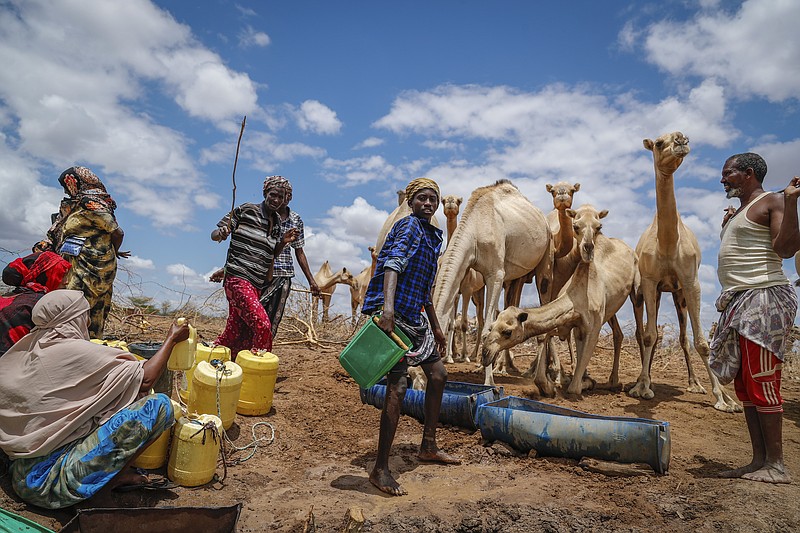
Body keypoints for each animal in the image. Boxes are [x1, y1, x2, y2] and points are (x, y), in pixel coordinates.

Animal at [434, 180, 552, 386]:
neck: (475, 229)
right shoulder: (467, 272)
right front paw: (484, 367)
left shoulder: (495, 273)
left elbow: (487, 329)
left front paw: (489, 382)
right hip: (515, 278)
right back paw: (499, 366)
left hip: (544, 260)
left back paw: (538, 375)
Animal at [478, 204, 640, 394]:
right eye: (492, 327)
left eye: (507, 332)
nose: (485, 354)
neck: (576, 298)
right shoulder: (569, 324)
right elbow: (546, 338)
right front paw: (550, 385)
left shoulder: (593, 328)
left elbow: (573, 388)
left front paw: (580, 382)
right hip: (609, 310)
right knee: (617, 333)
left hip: (636, 290)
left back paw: (618, 383)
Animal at [628, 131, 740, 414]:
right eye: (658, 143)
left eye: (684, 137)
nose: (680, 140)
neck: (667, 243)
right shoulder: (649, 281)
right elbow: (650, 335)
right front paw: (642, 387)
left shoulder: (691, 282)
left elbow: (701, 342)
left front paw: (723, 399)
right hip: (656, 293)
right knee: (651, 334)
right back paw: (646, 379)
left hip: (678, 295)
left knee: (682, 338)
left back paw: (697, 385)